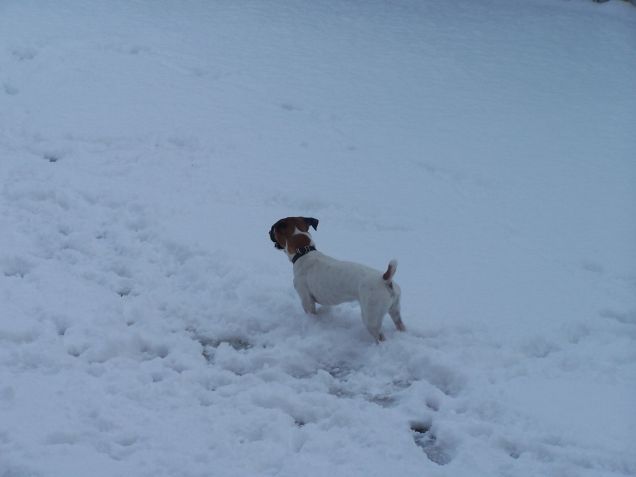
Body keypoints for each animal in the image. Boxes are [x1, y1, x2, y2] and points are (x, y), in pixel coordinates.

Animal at [268, 216, 402, 342]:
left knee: (380, 337)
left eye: (273, 229)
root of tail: (385, 279)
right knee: (400, 325)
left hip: (371, 318)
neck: (303, 252)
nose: (268, 231)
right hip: (395, 311)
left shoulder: (307, 300)